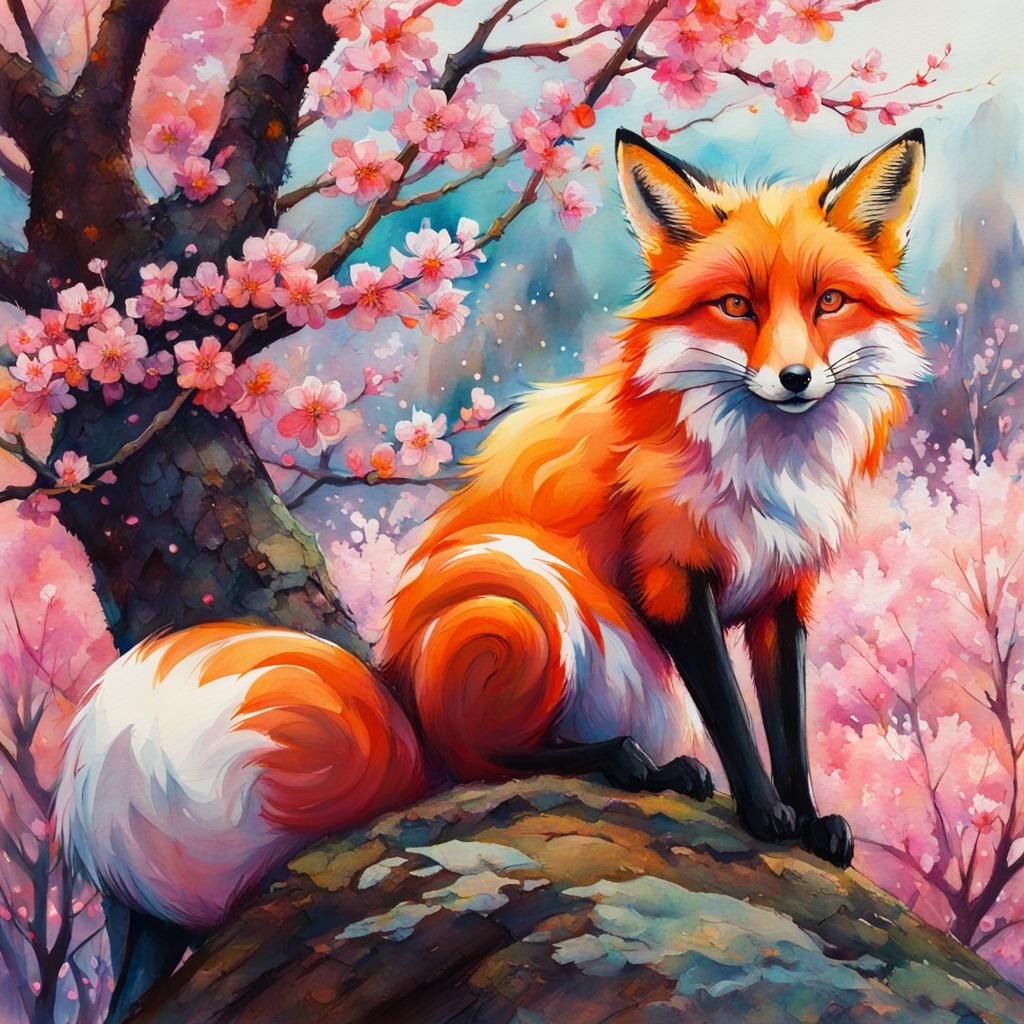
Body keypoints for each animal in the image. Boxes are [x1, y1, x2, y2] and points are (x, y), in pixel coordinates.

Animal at [54, 128, 927, 1020]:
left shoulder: (784, 594)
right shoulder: (674, 580)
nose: (795, 380)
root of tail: (400, 690)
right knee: (479, 759)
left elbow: (787, 725)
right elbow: (736, 723)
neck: (764, 470)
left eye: (828, 303)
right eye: (736, 307)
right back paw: (630, 763)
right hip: (526, 601)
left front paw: (810, 821)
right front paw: (761, 813)